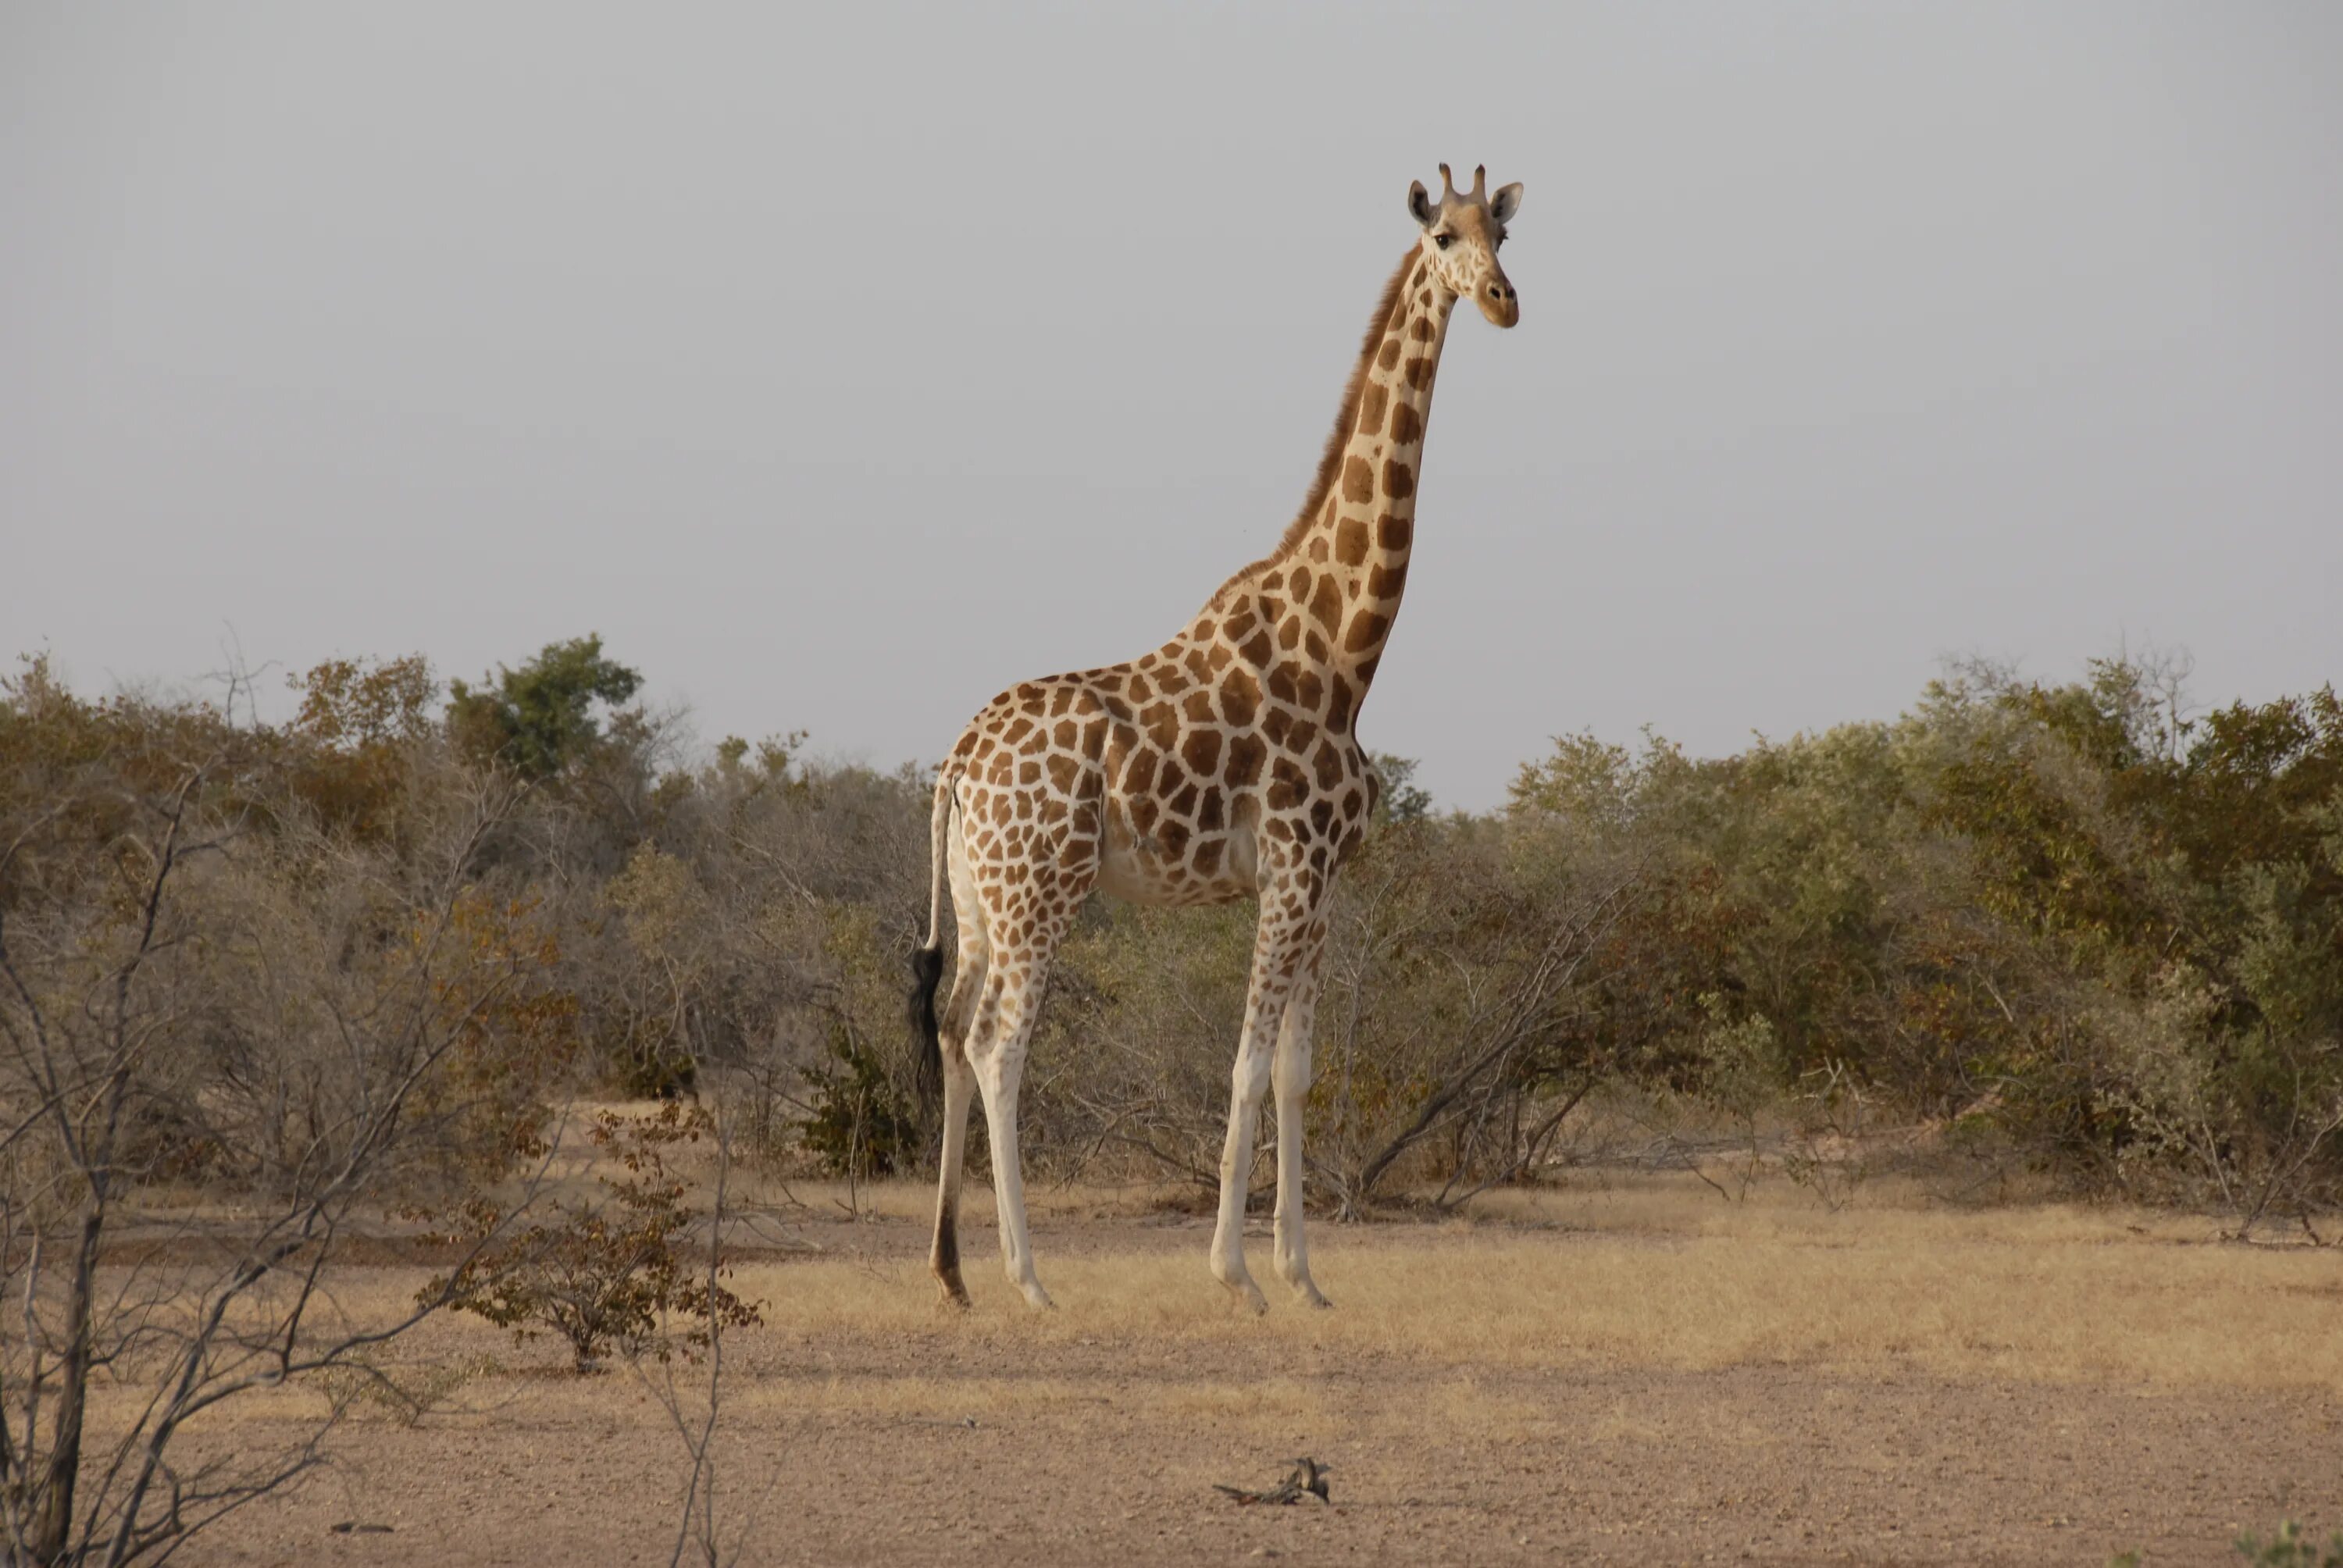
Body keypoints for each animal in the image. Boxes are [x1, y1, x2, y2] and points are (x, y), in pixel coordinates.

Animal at [904, 162, 1528, 1312]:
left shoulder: (1324, 879)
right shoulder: (1290, 863)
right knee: (1000, 1043)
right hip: (1040, 889)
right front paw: (1234, 1273)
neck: (1345, 649)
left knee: (952, 1026)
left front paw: (1305, 1277)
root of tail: (957, 764)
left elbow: (1295, 1071)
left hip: (977, 893)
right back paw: (1030, 1279)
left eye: (1503, 234)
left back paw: (955, 1272)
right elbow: (1242, 1066)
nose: (1506, 301)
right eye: (1443, 238)